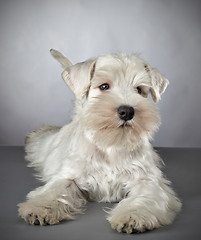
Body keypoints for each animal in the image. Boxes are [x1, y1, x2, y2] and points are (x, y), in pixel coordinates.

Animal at [18, 49, 181, 233]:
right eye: (104, 86)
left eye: (139, 90)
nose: (127, 111)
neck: (110, 145)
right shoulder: (68, 176)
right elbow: (54, 191)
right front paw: (39, 209)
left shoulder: (146, 180)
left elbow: (143, 199)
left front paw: (132, 217)